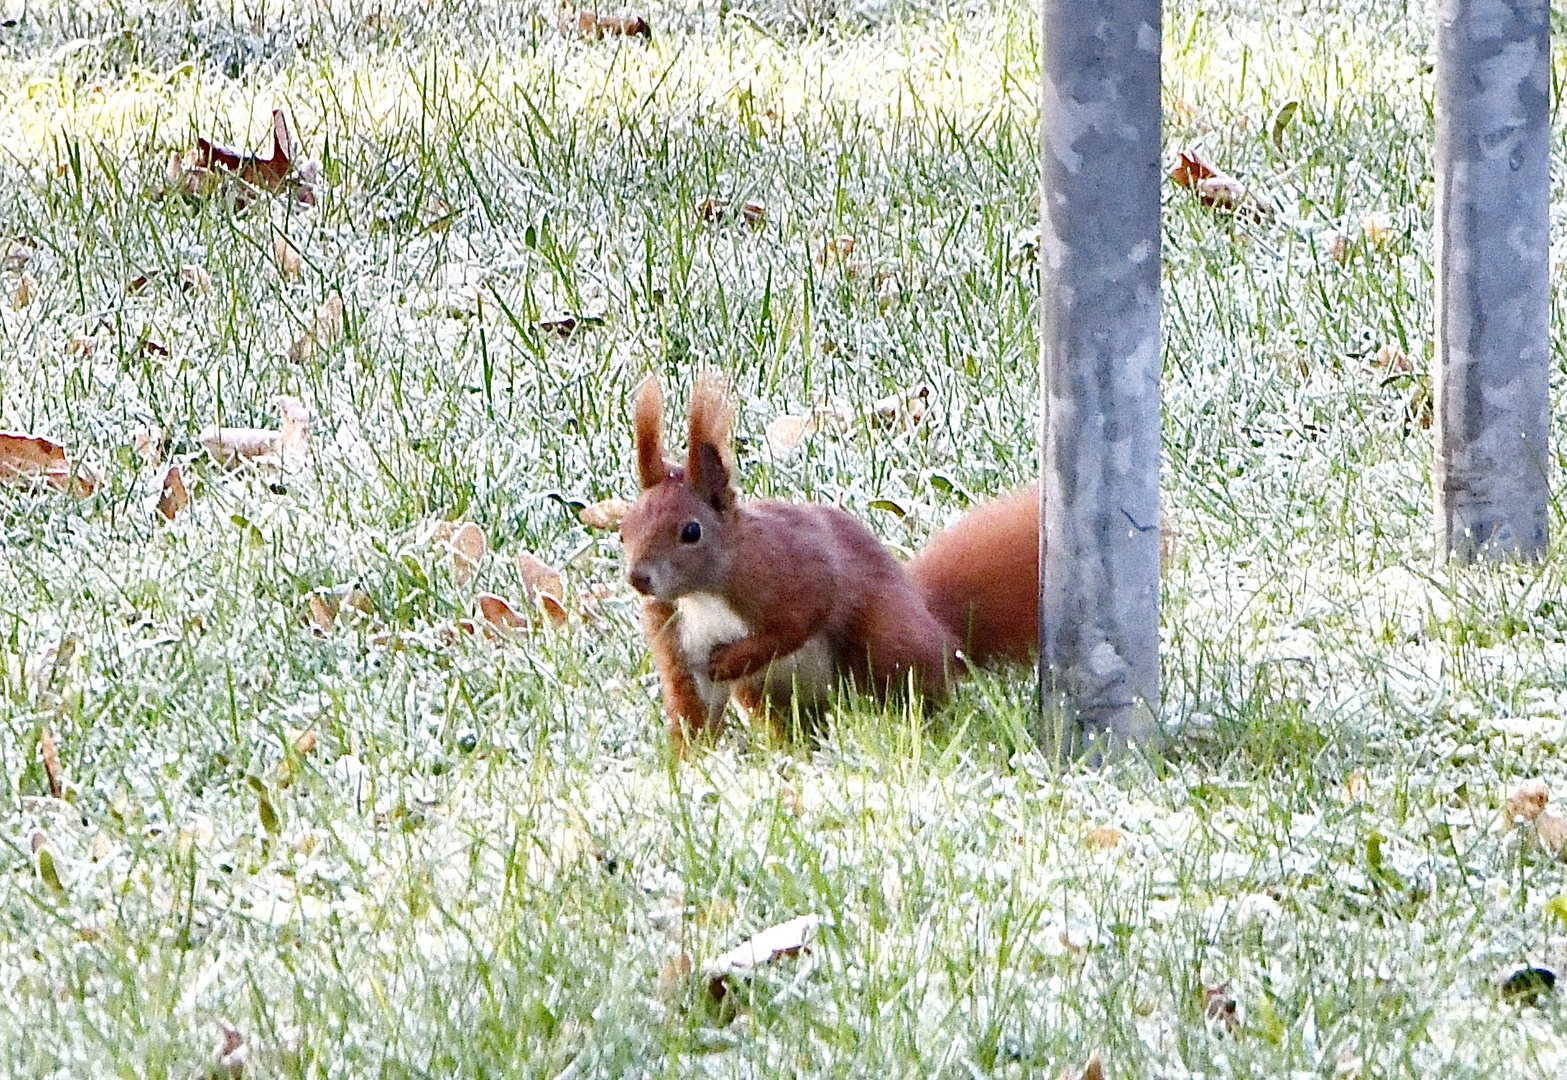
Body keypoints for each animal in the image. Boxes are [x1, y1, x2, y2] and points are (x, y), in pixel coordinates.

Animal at [620, 374, 1040, 755]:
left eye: (692, 531)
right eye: (624, 529)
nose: (639, 578)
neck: (702, 593)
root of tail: (937, 623)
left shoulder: (796, 569)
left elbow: (797, 621)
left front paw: (732, 660)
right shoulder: (674, 634)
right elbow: (692, 708)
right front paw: (686, 764)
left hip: (887, 643)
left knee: (920, 695)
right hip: (772, 697)